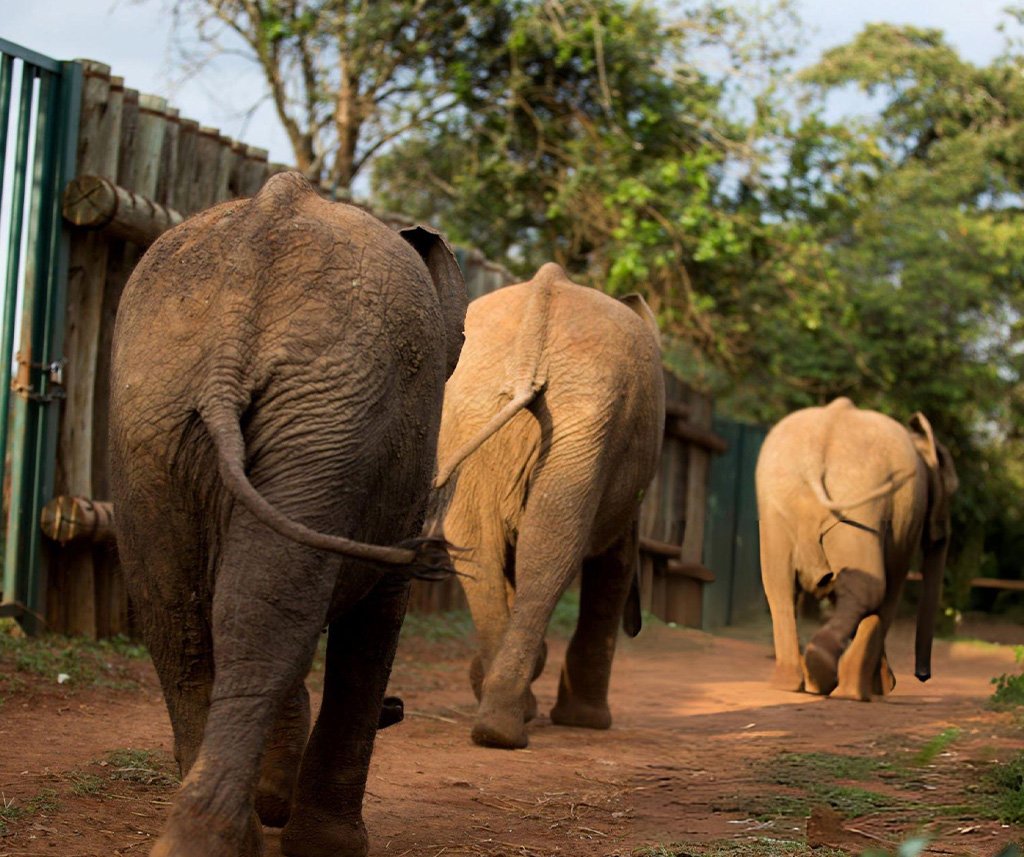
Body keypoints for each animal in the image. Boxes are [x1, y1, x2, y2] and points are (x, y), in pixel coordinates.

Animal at [109, 172, 467, 857]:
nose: (401, 710)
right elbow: (376, 621)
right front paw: (331, 846)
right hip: (326, 419)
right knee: (259, 616)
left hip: (160, 416)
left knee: (186, 618)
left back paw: (205, 839)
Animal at [428, 262, 665, 749]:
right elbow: (614, 566)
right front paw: (586, 722)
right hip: (584, 420)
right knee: (554, 546)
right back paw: (508, 723)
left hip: (478, 415)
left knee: (487, 546)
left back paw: (498, 726)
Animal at [755, 397, 958, 701]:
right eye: (954, 491)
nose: (923, 676)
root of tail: (820, 444)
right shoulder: (906, 517)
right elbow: (889, 589)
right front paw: (874, 690)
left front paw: (880, 686)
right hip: (859, 508)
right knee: (872, 588)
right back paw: (830, 681)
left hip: (780, 505)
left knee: (780, 586)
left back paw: (792, 683)